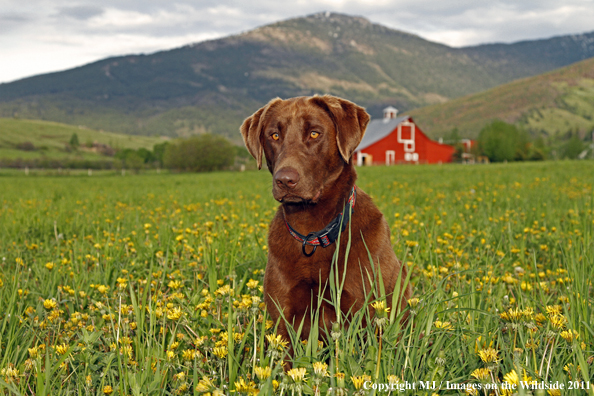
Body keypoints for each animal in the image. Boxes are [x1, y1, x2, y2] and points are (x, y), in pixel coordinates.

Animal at [238, 95, 410, 350]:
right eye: (274, 135)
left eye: (314, 133)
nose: (285, 180)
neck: (313, 232)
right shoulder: (284, 319)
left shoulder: (366, 312)